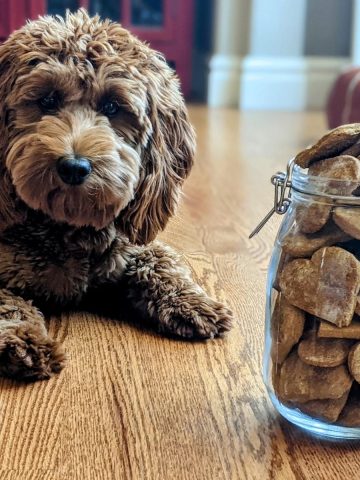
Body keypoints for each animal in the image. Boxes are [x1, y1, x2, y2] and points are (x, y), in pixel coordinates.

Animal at [0, 9, 233, 380]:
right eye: (47, 100)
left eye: (112, 106)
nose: (74, 167)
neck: (69, 228)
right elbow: (8, 304)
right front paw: (23, 340)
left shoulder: (129, 245)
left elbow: (159, 260)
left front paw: (192, 301)